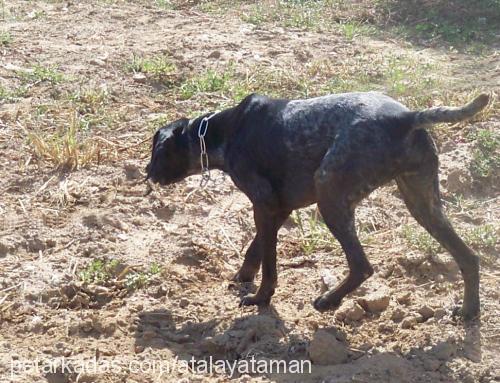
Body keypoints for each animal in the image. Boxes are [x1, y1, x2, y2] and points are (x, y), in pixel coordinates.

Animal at [145, 91, 488, 320]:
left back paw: (328, 300)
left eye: (156, 152)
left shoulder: (265, 204)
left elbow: (269, 263)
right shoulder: (278, 208)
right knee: (469, 258)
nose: (146, 172)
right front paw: (243, 277)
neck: (222, 131)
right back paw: (469, 311)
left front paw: (260, 298)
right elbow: (255, 249)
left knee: (362, 265)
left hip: (331, 195)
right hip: (422, 204)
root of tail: (405, 119)